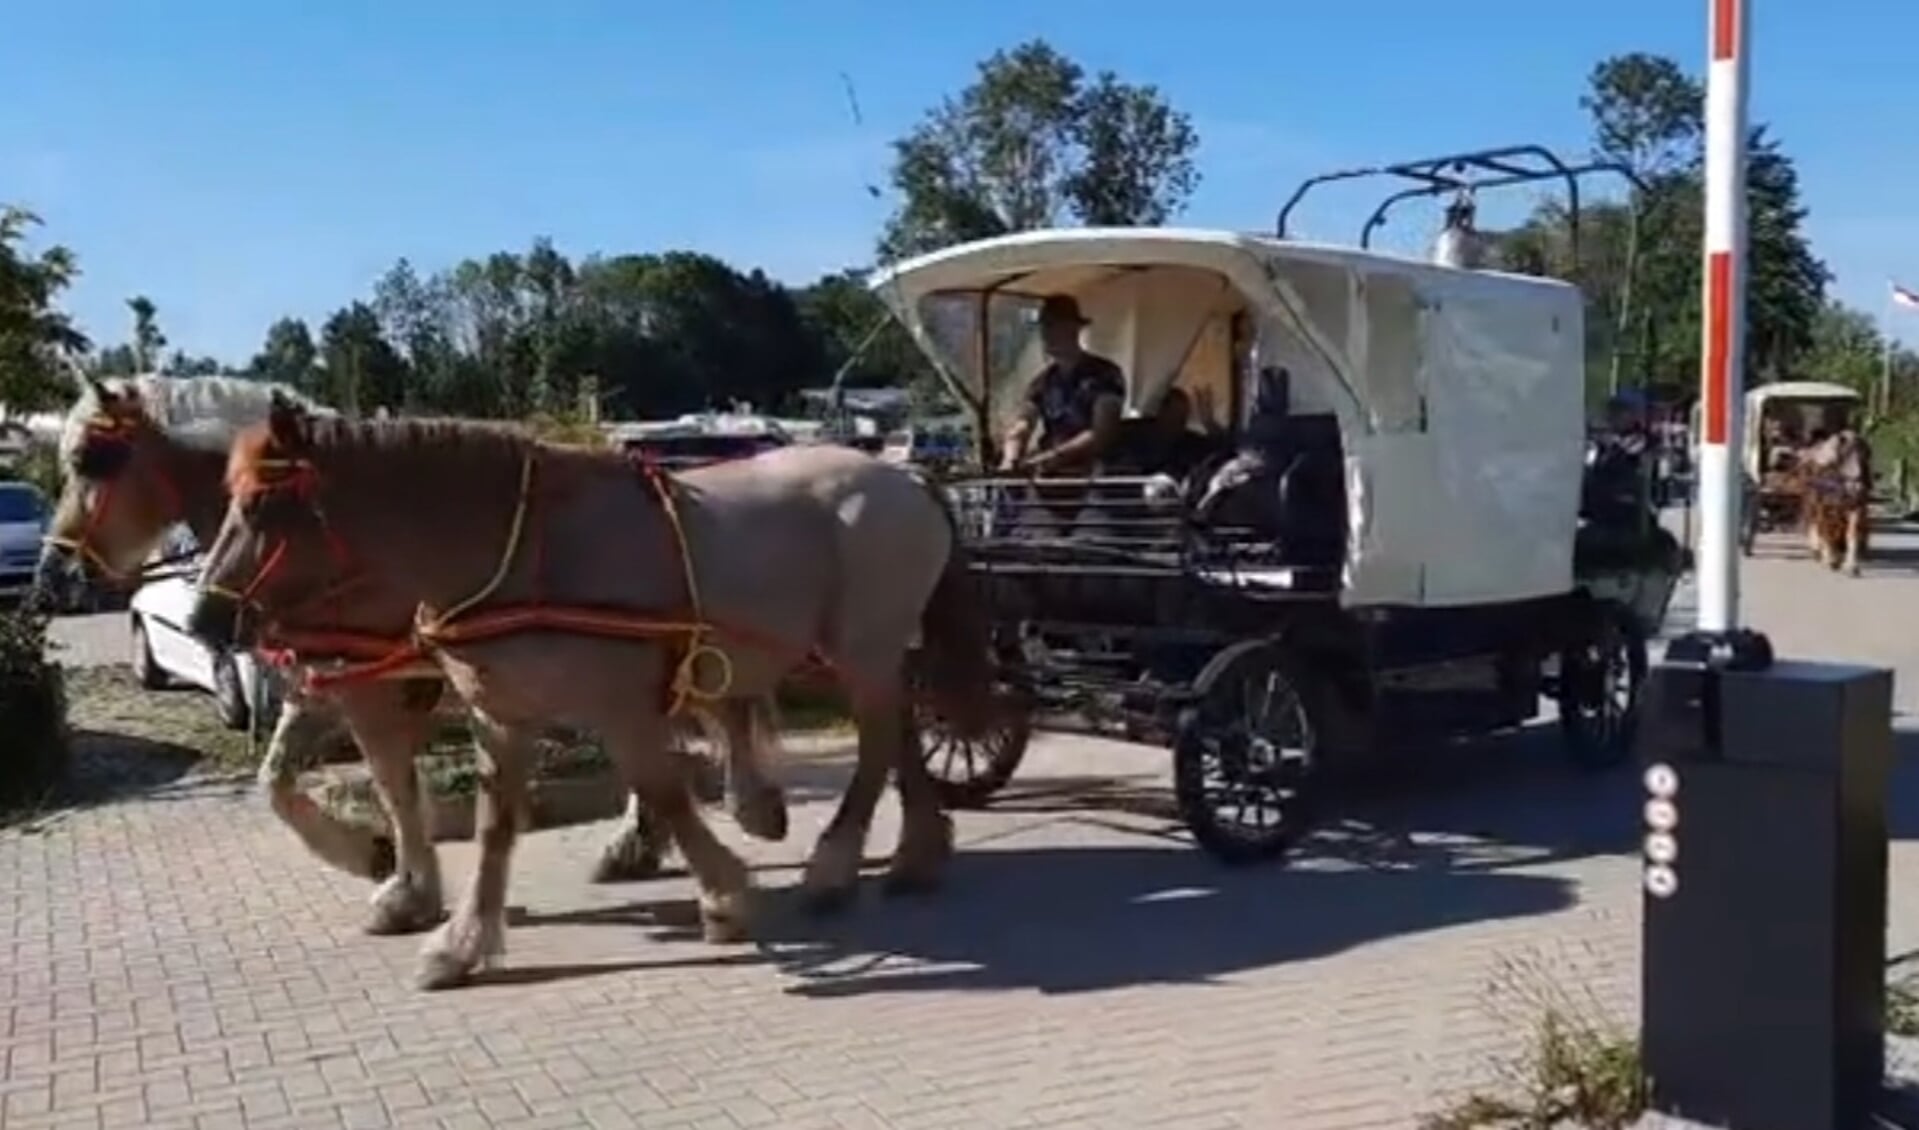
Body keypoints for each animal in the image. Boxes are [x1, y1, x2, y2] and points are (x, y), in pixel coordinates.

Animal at [187, 399, 990, 989]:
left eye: (260, 507)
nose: (202, 620)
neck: (521, 555)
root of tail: (904, 477)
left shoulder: (622, 709)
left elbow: (665, 793)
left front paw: (725, 897)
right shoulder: (498, 718)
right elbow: (492, 827)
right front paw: (461, 941)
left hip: (861, 648)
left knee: (877, 745)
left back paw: (832, 867)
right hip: (874, 655)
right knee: (900, 735)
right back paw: (915, 856)